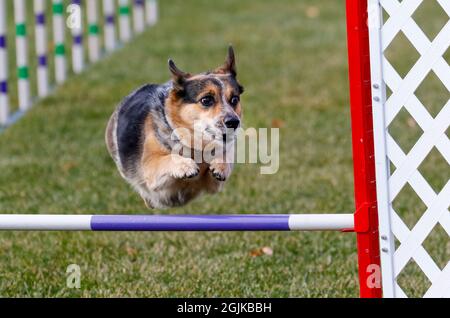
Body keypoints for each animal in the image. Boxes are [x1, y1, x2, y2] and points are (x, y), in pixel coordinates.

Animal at [105, 45, 243, 209]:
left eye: (234, 99)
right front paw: (186, 165)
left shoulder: (214, 185)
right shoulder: (150, 169)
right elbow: (168, 158)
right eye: (206, 100)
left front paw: (220, 165)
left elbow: (225, 156)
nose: (234, 122)